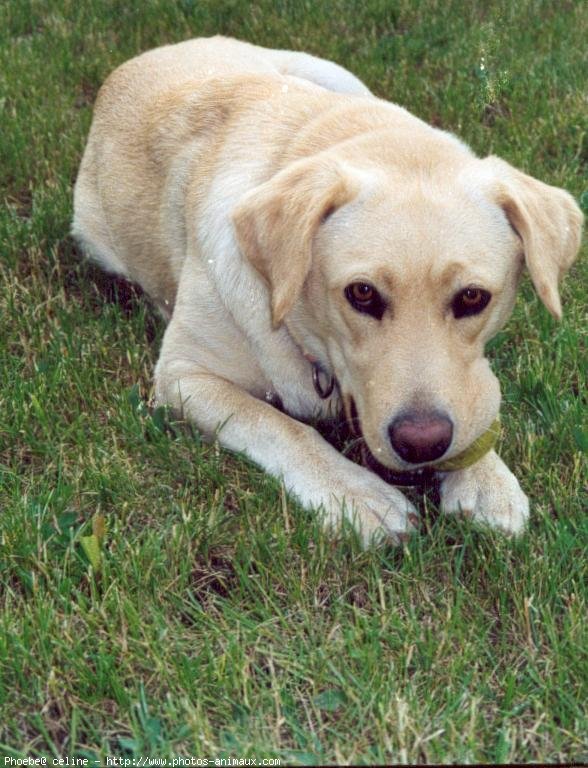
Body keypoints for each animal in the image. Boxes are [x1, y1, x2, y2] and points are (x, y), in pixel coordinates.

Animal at [73, 36, 584, 544]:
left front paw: (485, 478)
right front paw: (355, 494)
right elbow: (280, 426)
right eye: (362, 294)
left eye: (473, 297)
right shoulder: (184, 376)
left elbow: (476, 401)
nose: (422, 444)